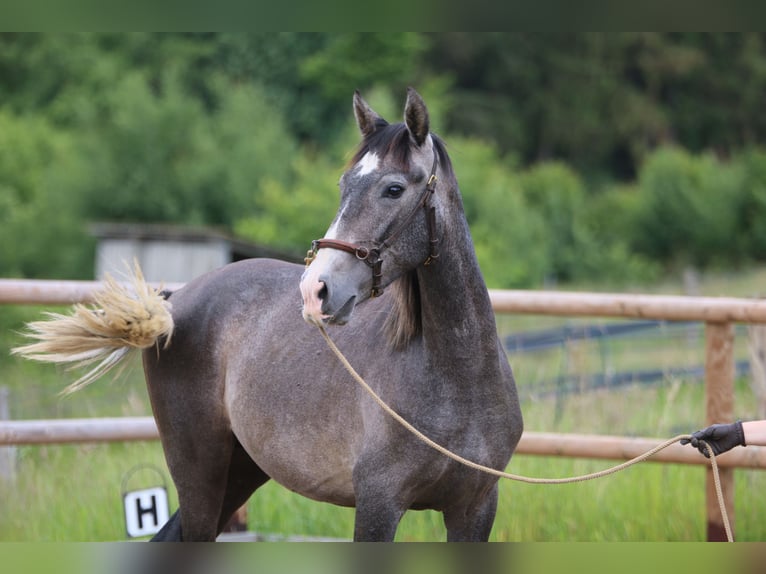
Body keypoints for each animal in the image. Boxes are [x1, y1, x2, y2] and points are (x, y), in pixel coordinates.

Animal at [15, 88, 524, 544]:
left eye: (394, 188)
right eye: (343, 185)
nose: (316, 290)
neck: (456, 378)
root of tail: (176, 300)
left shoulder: (476, 508)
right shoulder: (378, 506)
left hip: (240, 471)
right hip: (199, 471)